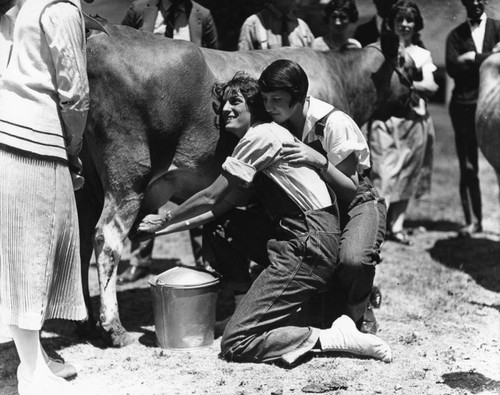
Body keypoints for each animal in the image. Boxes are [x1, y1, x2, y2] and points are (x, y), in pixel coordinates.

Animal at [80, 23, 416, 348]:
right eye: (408, 65)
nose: (417, 101)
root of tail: (100, 36)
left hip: (88, 184)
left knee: (82, 242)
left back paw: (89, 321)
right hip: (128, 174)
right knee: (107, 239)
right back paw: (113, 328)